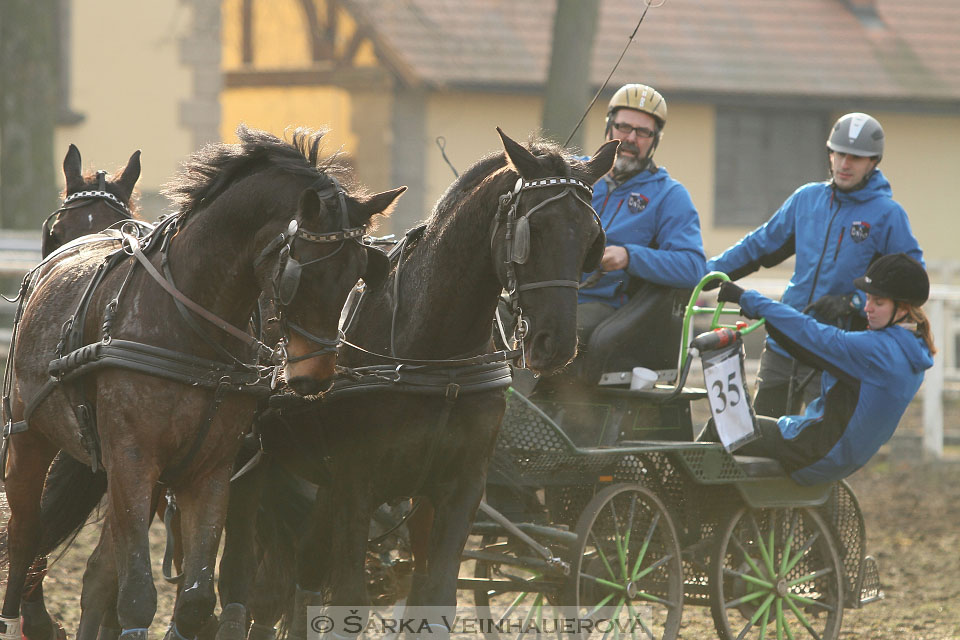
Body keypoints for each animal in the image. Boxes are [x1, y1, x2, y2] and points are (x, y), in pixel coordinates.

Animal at [0, 125, 404, 640]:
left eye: (359, 270)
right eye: (301, 271)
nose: (313, 375)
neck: (190, 323)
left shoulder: (211, 469)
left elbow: (195, 598)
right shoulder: (132, 460)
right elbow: (137, 595)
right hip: (29, 437)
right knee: (26, 534)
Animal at [218, 127, 620, 636]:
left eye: (591, 237)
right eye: (535, 231)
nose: (558, 343)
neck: (436, 357)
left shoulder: (457, 488)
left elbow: (435, 598)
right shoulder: (356, 484)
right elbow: (349, 597)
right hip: (257, 469)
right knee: (252, 580)